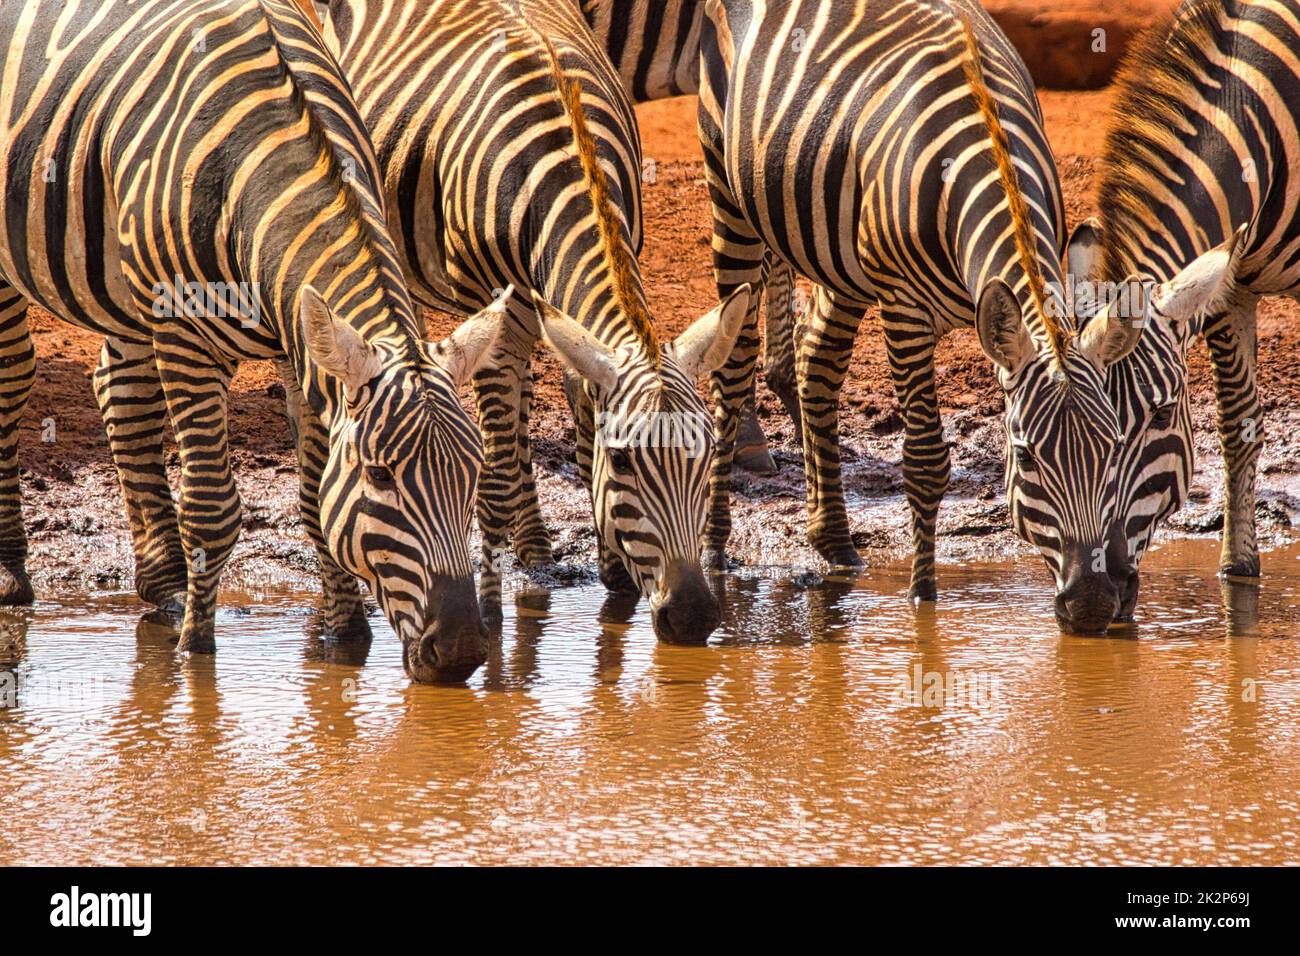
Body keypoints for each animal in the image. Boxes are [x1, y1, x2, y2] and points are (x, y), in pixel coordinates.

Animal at [0, 3, 506, 686]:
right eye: (379, 474)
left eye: (475, 472)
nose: (461, 653)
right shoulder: (186, 340)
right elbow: (212, 509)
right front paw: (194, 654)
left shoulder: (303, 347)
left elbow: (317, 499)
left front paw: (345, 639)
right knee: (14, 376)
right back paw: (12, 572)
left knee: (118, 390)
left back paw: (165, 586)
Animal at [313, 1, 748, 642]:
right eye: (625, 461)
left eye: (709, 449)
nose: (694, 618)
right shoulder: (494, 317)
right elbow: (493, 481)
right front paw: (493, 615)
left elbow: (584, 430)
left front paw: (614, 578)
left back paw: (537, 545)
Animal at [696, 1, 1154, 634]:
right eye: (1024, 456)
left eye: (1113, 448)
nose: (1090, 608)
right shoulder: (905, 309)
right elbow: (925, 462)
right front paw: (922, 601)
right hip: (730, 197)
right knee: (732, 375)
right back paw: (716, 547)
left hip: (842, 255)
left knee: (817, 361)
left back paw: (836, 544)